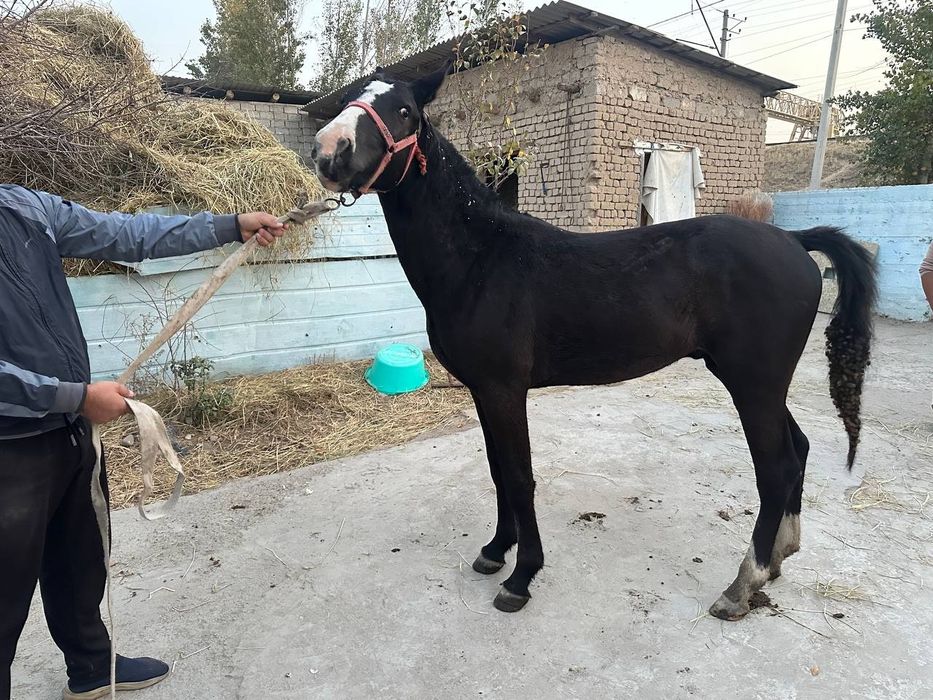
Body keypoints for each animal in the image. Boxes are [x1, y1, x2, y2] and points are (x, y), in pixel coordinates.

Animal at [310, 65, 878, 617]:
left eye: (404, 110)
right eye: (348, 101)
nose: (328, 150)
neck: (480, 259)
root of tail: (794, 241)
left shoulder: (504, 390)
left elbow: (518, 476)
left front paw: (521, 577)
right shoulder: (482, 392)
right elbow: (497, 470)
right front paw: (495, 551)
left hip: (753, 385)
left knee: (776, 469)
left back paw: (742, 584)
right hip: (757, 382)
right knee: (798, 451)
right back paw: (779, 558)